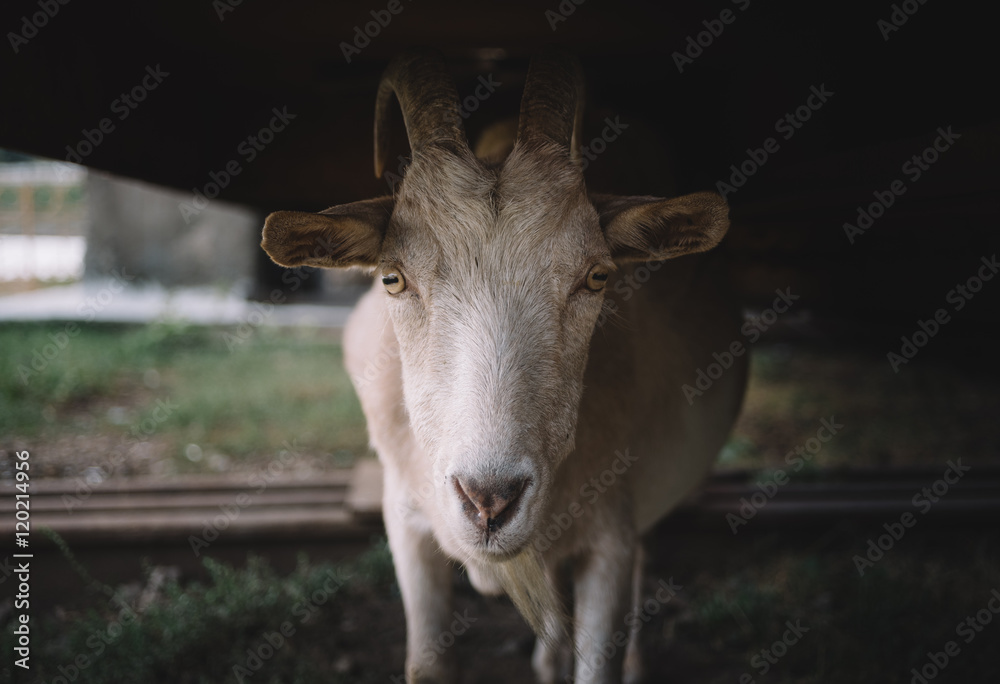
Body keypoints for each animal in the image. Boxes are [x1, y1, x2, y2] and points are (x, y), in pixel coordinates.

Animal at [262, 48, 748, 684]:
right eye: (393, 277)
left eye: (597, 276)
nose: (488, 500)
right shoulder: (405, 522)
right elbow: (427, 664)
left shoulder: (610, 539)